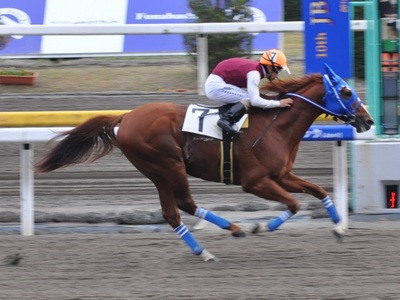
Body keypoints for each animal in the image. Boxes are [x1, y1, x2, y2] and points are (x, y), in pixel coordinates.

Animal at [36, 63, 374, 260]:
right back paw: (232, 230)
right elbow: (293, 204)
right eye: (346, 91)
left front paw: (339, 229)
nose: (368, 120)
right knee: (184, 203)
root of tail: (126, 116)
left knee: (172, 213)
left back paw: (206, 248)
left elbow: (319, 190)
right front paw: (262, 226)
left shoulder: (282, 175)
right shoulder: (256, 181)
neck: (276, 124)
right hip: (168, 164)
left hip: (155, 171)